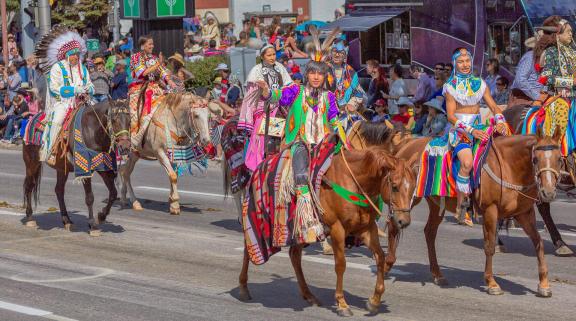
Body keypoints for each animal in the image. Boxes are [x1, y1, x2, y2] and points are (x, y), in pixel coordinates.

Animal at [22, 98, 131, 235]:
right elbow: (90, 197)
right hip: (32, 163)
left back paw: (67, 221)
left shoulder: (104, 169)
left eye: (130, 120)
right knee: (29, 186)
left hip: (61, 168)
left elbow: (113, 194)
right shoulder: (85, 170)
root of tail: (31, 119)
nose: (125, 147)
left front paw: (101, 217)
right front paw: (93, 225)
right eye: (114, 120)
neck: (92, 130)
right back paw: (30, 218)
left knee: (59, 190)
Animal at [238, 129, 418, 316]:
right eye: (395, 186)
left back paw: (309, 295)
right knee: (248, 249)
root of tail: (260, 165)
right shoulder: (337, 229)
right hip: (257, 221)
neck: (353, 181)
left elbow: (380, 257)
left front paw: (374, 301)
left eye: (413, 187)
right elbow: (341, 264)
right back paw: (243, 287)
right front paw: (342, 304)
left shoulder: (366, 229)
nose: (403, 221)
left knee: (295, 256)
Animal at [352, 120, 564, 298]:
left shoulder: (524, 214)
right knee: (395, 225)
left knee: (429, 232)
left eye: (559, 159)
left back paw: (437, 274)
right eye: (535, 159)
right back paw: (388, 265)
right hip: (406, 199)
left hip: (435, 203)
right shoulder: (490, 211)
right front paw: (492, 283)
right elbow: (489, 246)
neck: (508, 165)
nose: (548, 192)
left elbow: (538, 243)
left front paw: (544, 284)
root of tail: (405, 144)